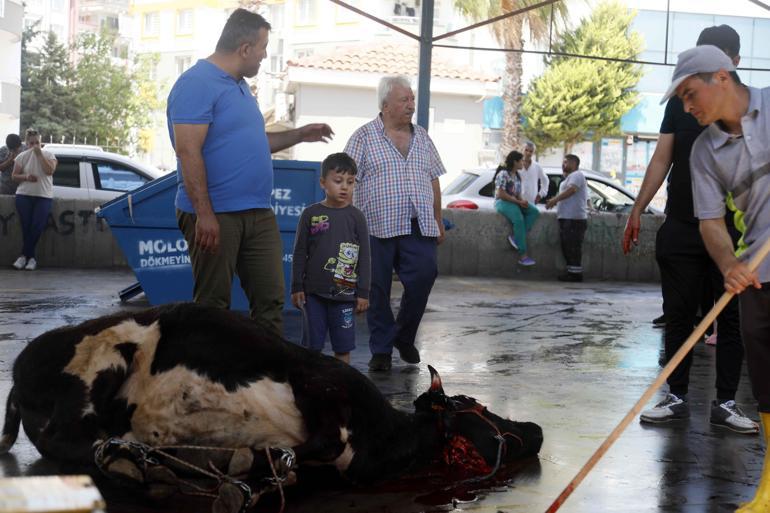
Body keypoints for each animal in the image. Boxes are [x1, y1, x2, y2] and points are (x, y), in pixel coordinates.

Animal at [0, 302, 544, 506]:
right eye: (475, 405)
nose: (536, 430)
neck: (387, 441)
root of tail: (20, 368)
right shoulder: (320, 384)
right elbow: (312, 444)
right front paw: (245, 467)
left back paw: (150, 463)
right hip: (103, 359)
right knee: (78, 438)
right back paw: (138, 460)